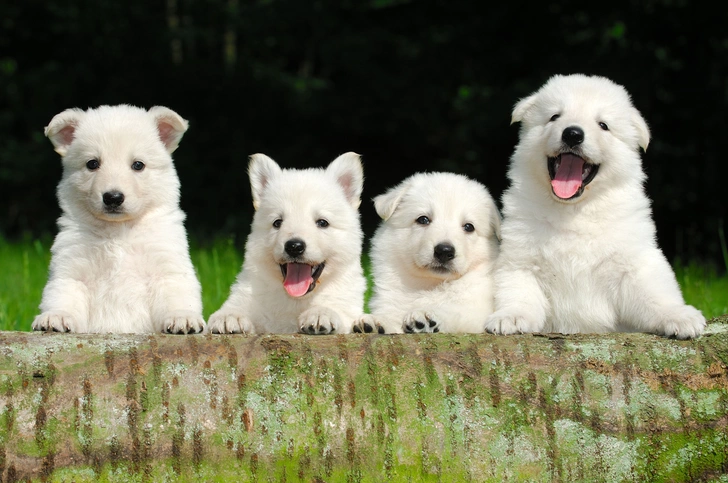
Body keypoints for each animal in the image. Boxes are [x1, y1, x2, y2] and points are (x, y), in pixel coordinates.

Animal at [32, 104, 205, 334]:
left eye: (138, 165)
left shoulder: (167, 266)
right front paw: (56, 317)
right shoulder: (71, 268)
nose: (113, 197)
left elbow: (177, 294)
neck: (118, 231)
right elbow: (63, 293)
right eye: (92, 163)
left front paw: (182, 317)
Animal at [208, 153, 366, 334]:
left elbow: (337, 312)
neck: (295, 299)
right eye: (278, 222)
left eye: (322, 222)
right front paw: (229, 316)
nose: (294, 247)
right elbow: (236, 307)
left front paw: (320, 313)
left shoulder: (347, 308)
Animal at [356, 172, 504, 334]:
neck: (431, 284)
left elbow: (457, 313)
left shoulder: (478, 311)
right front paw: (376, 321)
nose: (444, 251)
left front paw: (426, 315)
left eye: (469, 227)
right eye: (423, 219)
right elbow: (392, 318)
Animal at [486, 75, 708, 340]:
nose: (572, 134)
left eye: (603, 125)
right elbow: (518, 291)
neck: (574, 211)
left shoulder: (633, 262)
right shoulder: (520, 260)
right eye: (554, 116)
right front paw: (510, 317)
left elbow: (654, 293)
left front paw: (679, 316)